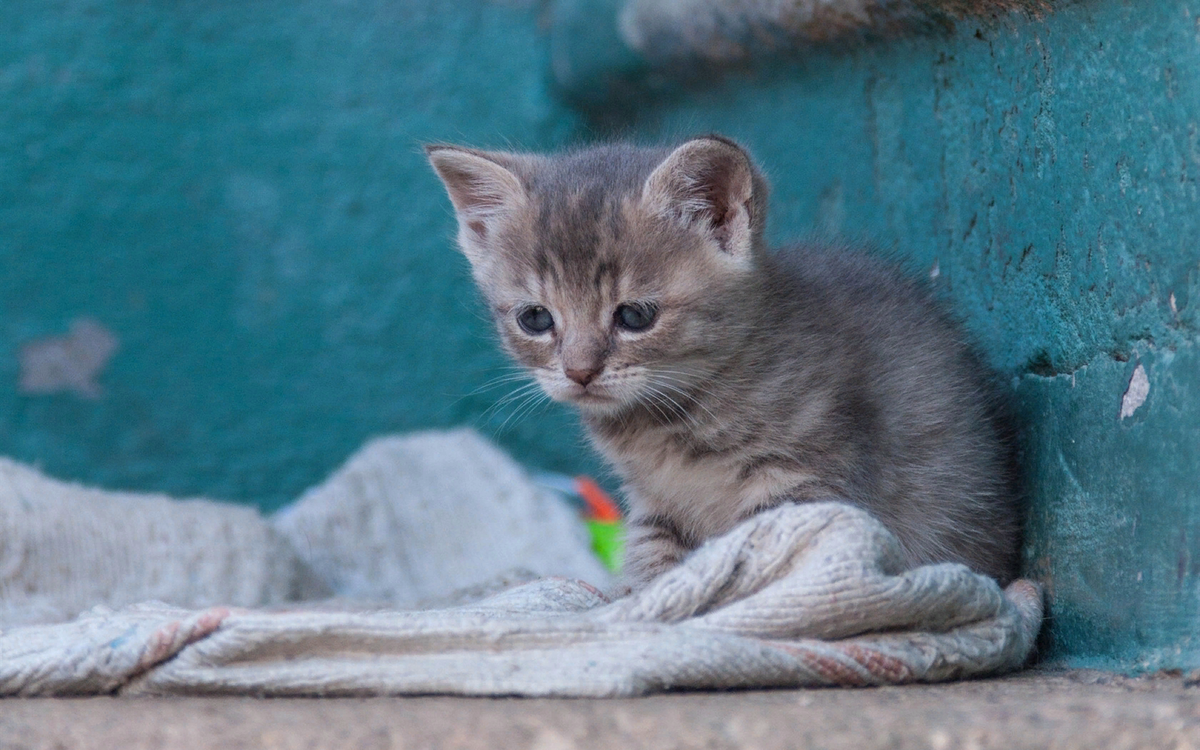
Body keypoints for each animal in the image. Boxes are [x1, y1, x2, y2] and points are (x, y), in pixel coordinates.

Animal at [427, 137, 1017, 588]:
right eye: (535, 319)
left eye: (634, 316)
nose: (579, 372)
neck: (668, 421)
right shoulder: (653, 502)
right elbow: (652, 557)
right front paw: (634, 604)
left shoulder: (802, 479)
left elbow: (770, 556)